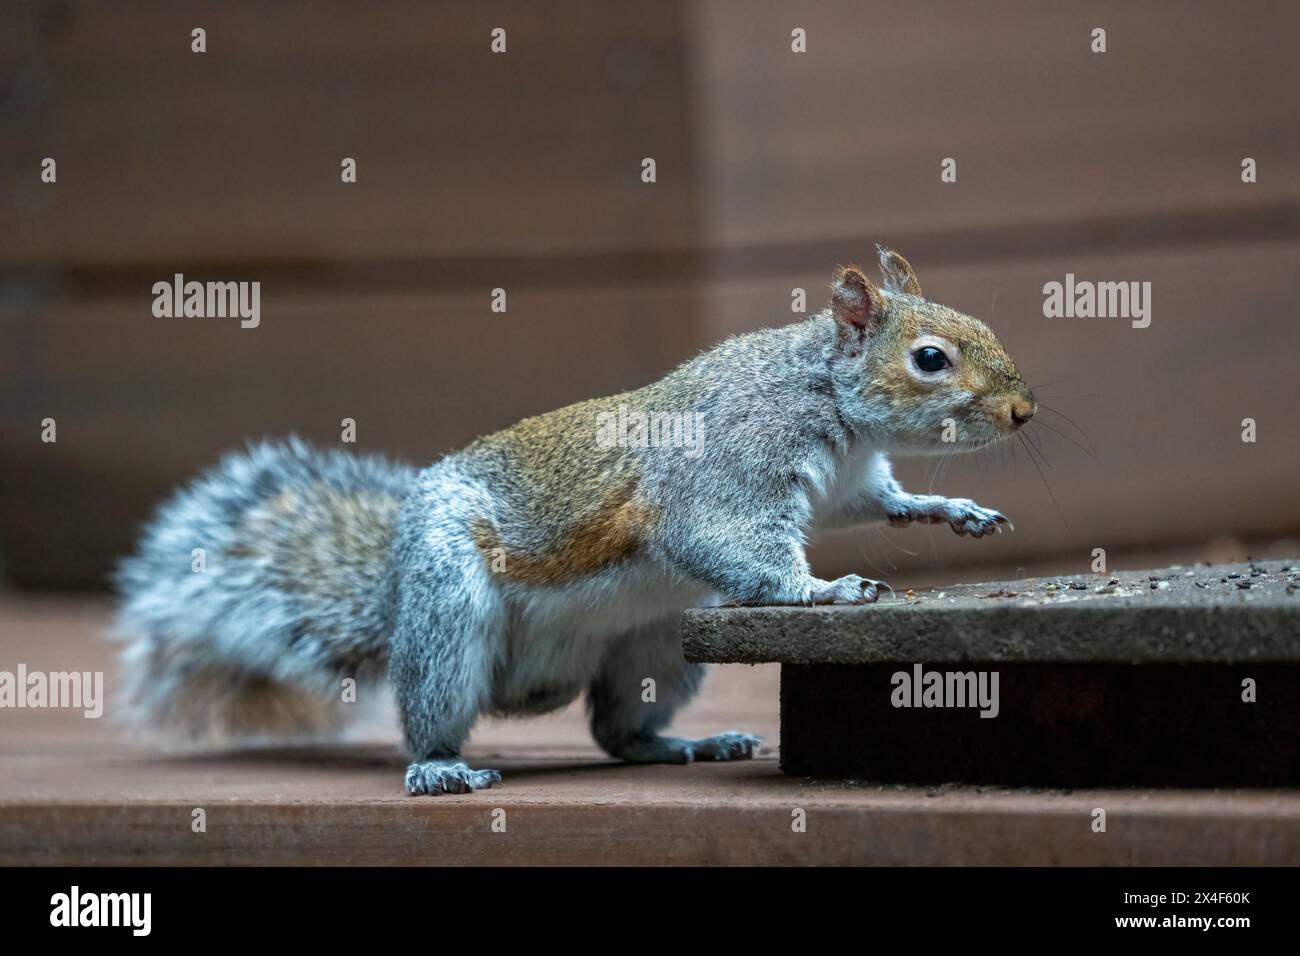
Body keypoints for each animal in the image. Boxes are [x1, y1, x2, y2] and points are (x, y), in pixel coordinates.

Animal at [116, 244, 1040, 790]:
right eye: (930, 359)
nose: (1025, 412)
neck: (826, 395)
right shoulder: (728, 468)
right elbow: (728, 541)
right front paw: (826, 590)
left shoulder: (850, 481)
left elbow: (879, 502)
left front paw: (949, 508)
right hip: (449, 607)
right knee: (433, 711)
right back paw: (440, 766)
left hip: (655, 645)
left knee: (616, 731)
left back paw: (685, 745)